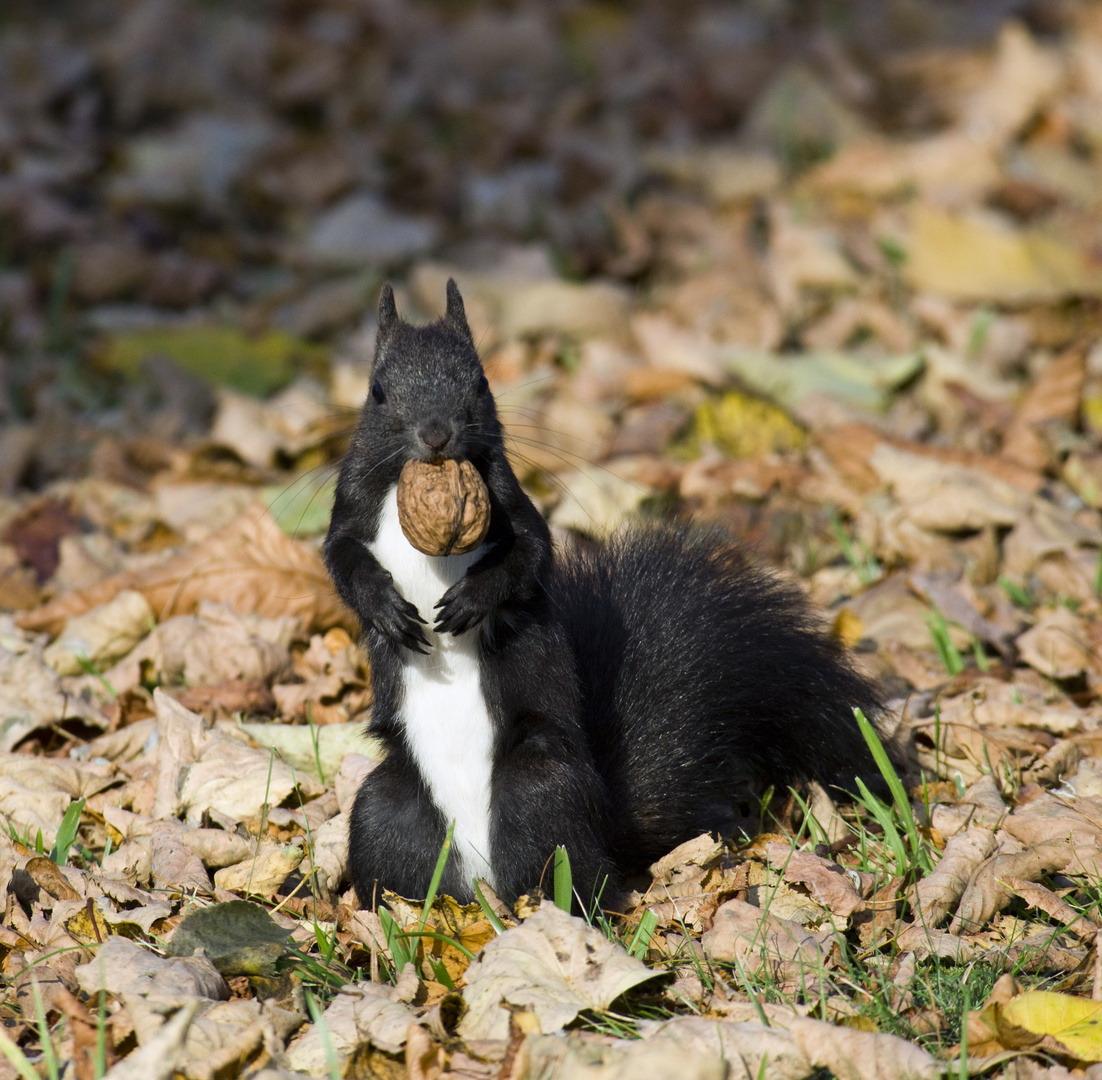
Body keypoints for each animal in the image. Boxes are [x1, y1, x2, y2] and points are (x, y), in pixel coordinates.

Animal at [321, 281, 881, 912]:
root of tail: (480, 879)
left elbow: (530, 553)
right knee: (390, 846)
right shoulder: (350, 506)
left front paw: (474, 599)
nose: (436, 436)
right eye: (377, 391)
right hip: (383, 810)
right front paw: (385, 607)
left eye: (481, 382)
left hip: (541, 790)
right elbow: (340, 560)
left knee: (570, 869)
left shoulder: (510, 499)